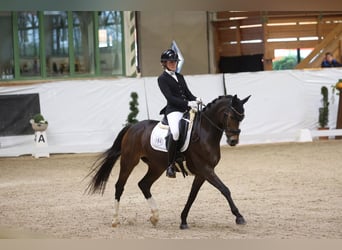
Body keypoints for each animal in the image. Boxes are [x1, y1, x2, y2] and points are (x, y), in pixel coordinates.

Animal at [85, 93, 251, 229]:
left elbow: (192, 196)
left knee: (144, 184)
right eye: (229, 116)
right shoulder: (205, 169)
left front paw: (183, 220)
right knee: (120, 186)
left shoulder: (202, 173)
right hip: (129, 161)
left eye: (242, 118)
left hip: (156, 166)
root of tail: (132, 126)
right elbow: (225, 189)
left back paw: (155, 217)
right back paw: (115, 220)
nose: (233, 141)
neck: (205, 132)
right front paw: (239, 217)